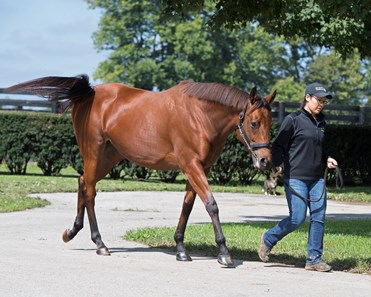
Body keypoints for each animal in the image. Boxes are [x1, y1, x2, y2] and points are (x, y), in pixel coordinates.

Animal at [6, 75, 276, 268]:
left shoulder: (199, 168)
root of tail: (90, 93)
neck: (199, 116)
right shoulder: (191, 165)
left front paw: (180, 249)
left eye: (270, 123)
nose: (265, 161)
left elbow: (187, 207)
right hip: (93, 153)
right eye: (254, 123)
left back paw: (72, 232)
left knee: (83, 182)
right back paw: (100, 243)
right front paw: (223, 252)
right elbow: (211, 204)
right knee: (90, 192)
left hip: (109, 157)